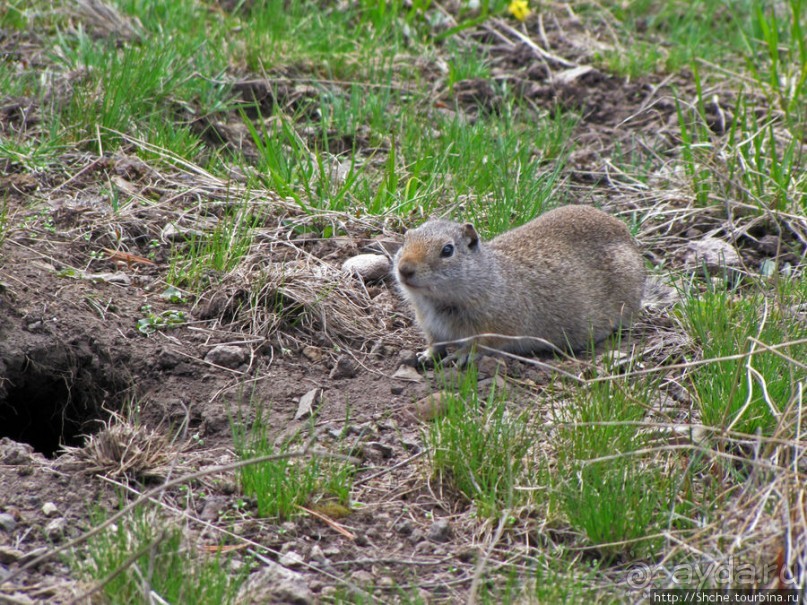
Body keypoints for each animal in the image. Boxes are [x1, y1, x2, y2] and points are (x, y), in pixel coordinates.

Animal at [394, 203, 648, 364]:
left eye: (447, 250)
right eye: (405, 240)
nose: (404, 269)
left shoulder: (498, 325)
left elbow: (482, 343)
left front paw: (460, 355)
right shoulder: (430, 326)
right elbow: (435, 343)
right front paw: (425, 355)